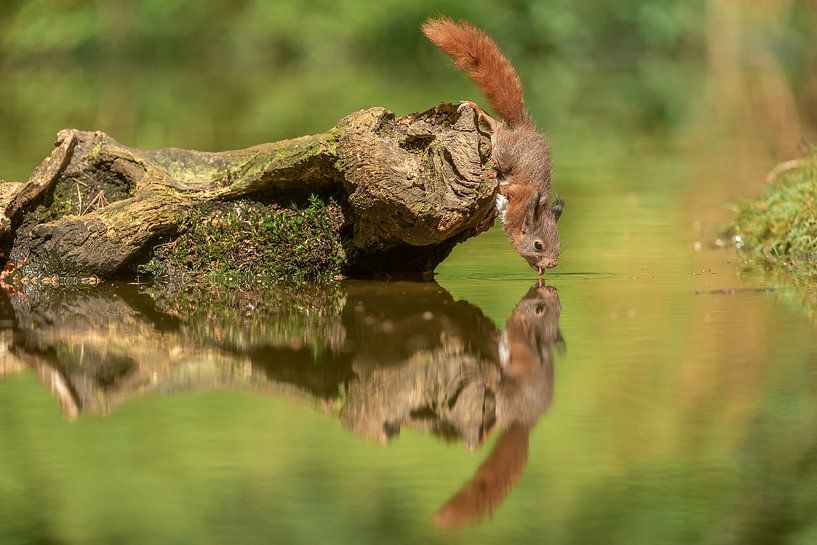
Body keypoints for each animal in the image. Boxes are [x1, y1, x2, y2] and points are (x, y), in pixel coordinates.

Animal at [420, 16, 560, 272]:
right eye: (538, 245)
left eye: (559, 244)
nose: (549, 265)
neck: (527, 210)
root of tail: (523, 127)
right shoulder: (519, 194)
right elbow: (506, 189)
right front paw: (491, 182)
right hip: (505, 151)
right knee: (497, 128)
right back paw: (479, 112)